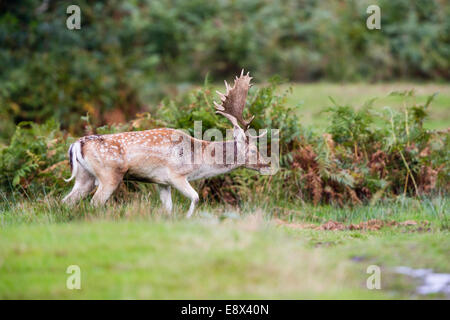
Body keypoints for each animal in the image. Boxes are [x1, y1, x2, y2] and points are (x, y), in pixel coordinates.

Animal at [62, 70, 270, 218]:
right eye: (253, 149)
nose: (267, 164)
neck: (198, 158)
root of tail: (77, 145)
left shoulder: (161, 182)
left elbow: (168, 207)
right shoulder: (176, 174)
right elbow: (195, 197)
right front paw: (187, 218)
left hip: (84, 177)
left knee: (67, 202)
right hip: (109, 175)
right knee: (94, 203)